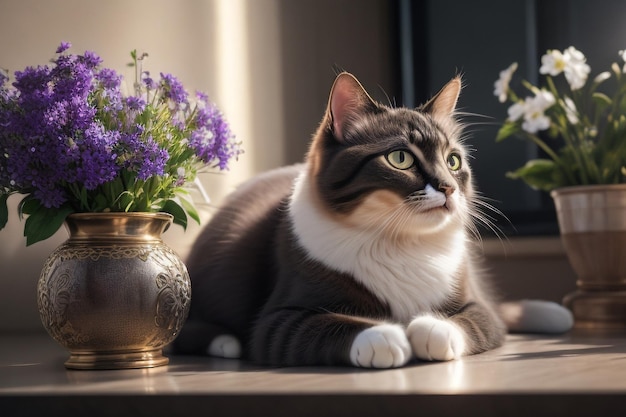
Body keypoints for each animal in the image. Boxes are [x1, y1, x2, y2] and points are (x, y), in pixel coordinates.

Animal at [171, 71, 572, 368]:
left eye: (453, 161)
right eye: (400, 158)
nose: (447, 187)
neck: (400, 241)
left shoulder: (475, 303)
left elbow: (474, 320)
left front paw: (431, 330)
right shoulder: (278, 320)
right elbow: (328, 324)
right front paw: (384, 336)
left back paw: (556, 313)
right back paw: (225, 343)